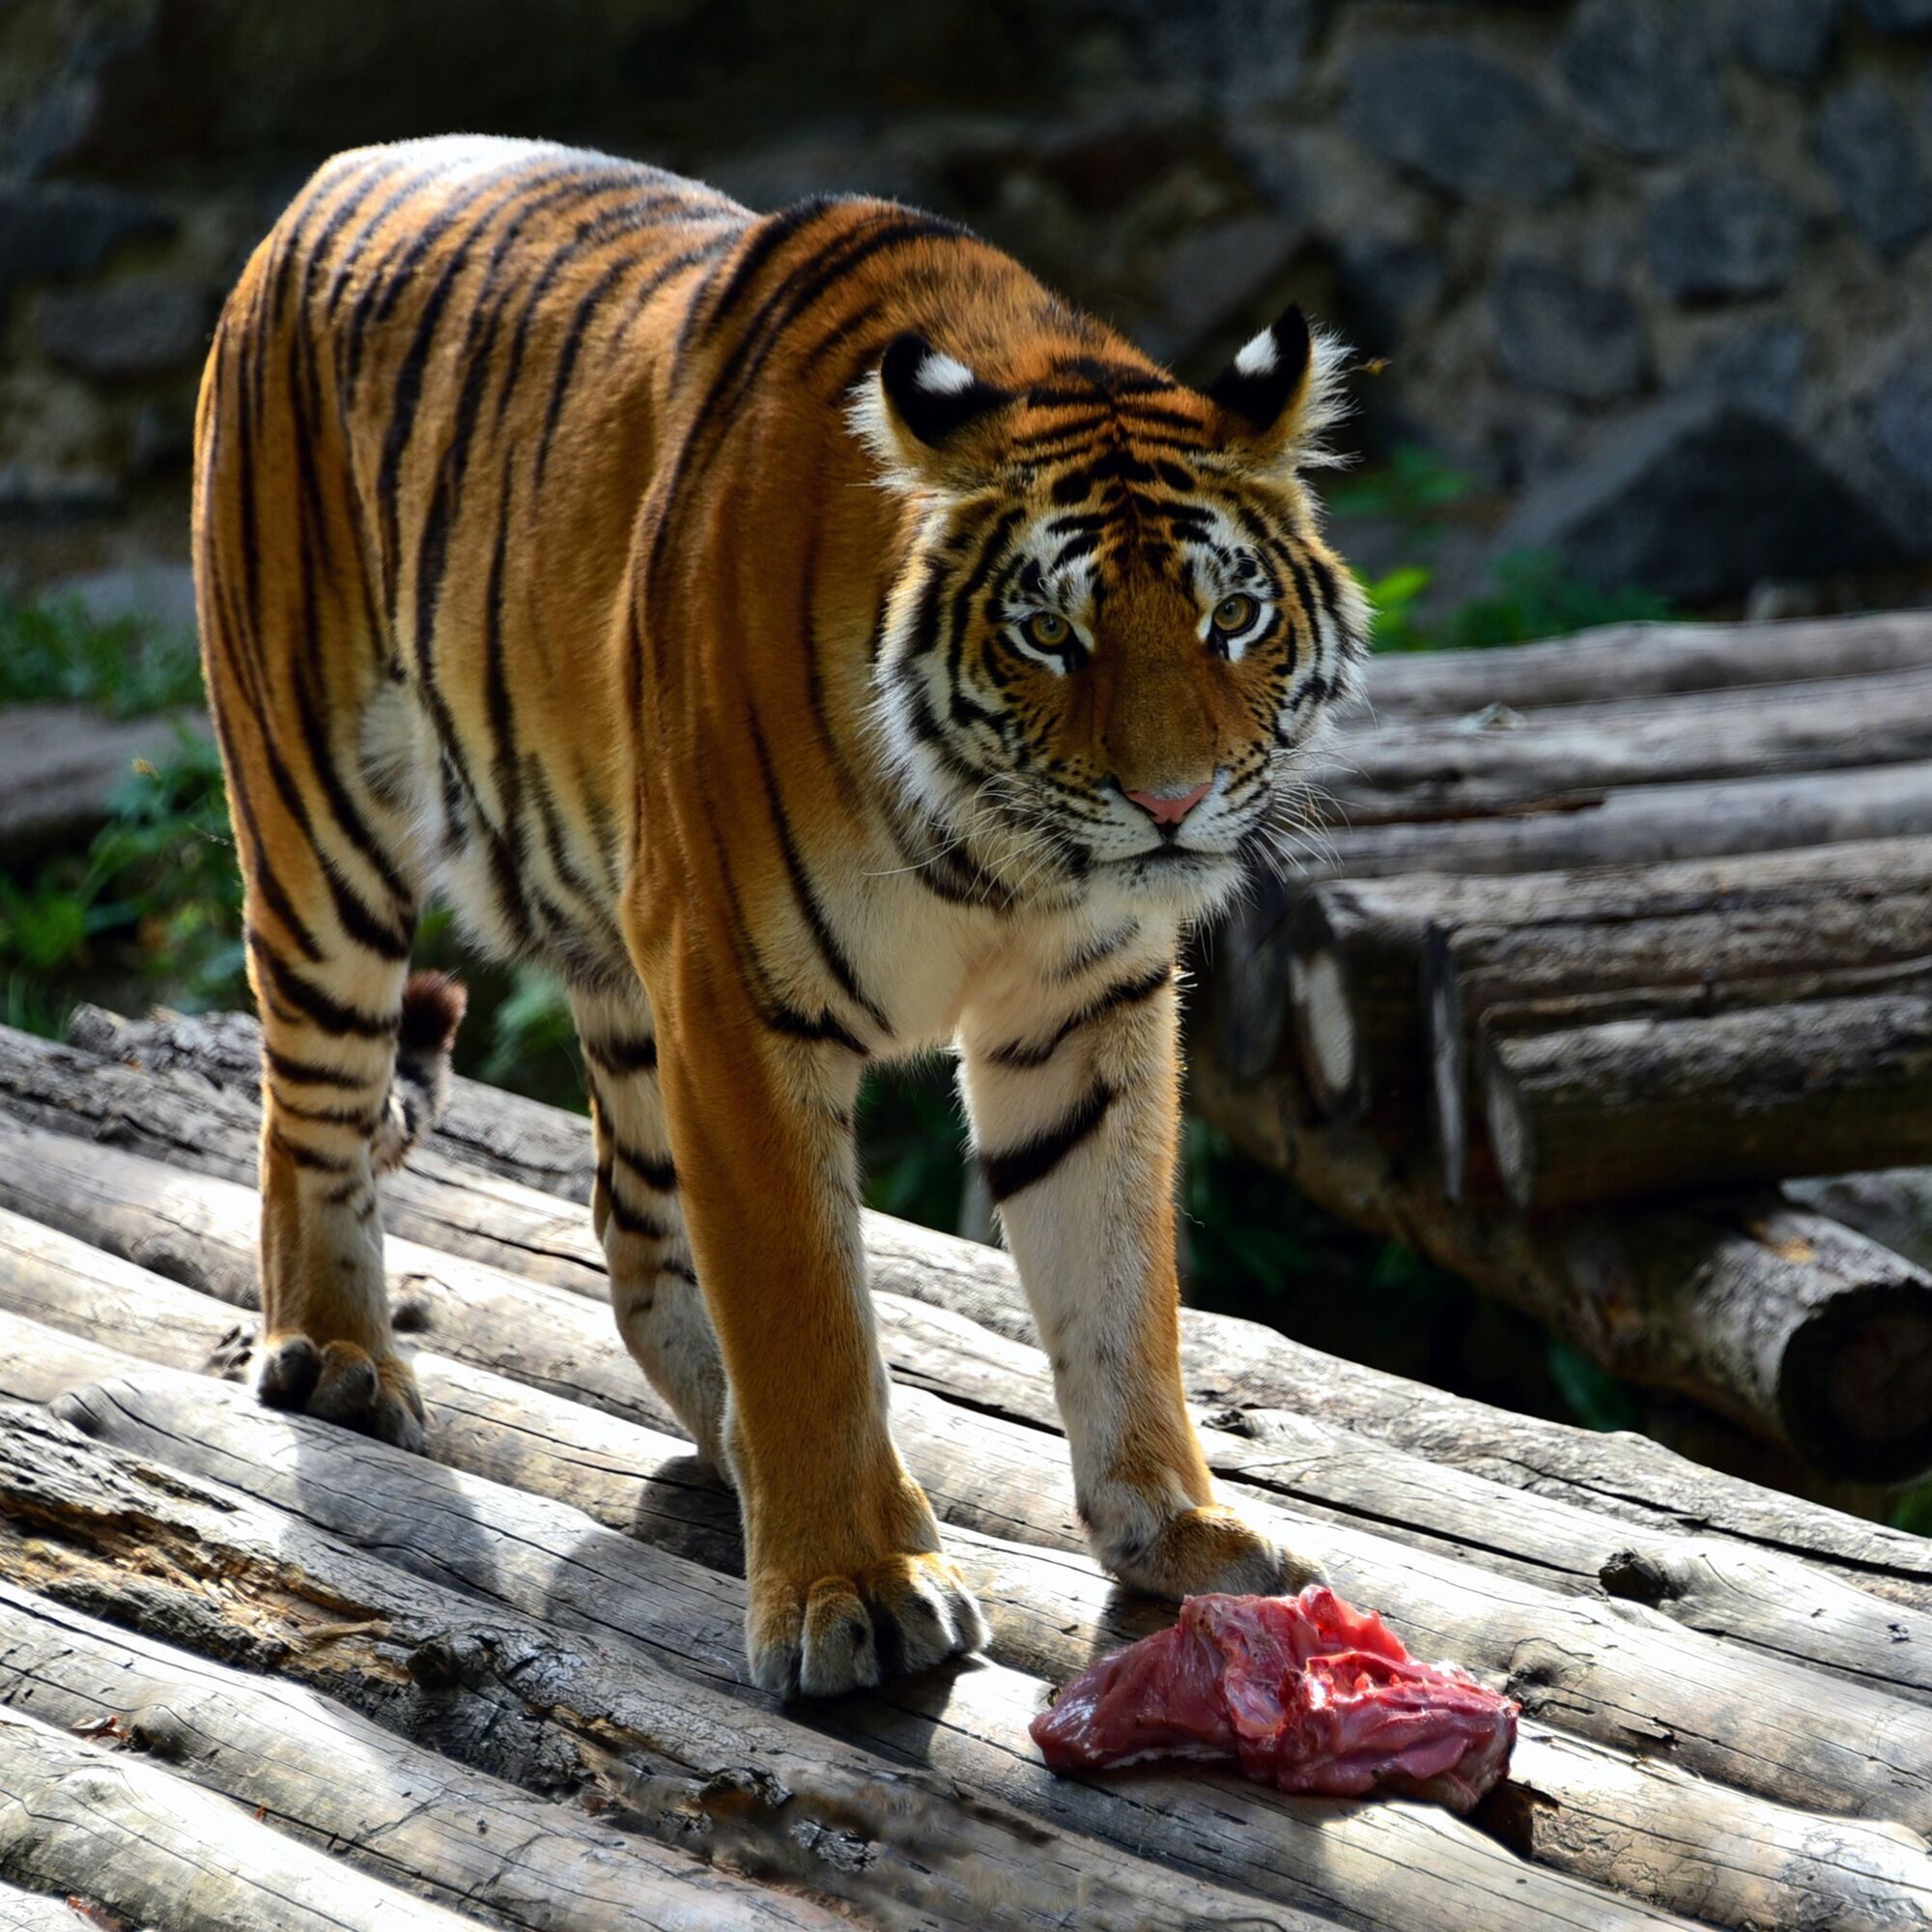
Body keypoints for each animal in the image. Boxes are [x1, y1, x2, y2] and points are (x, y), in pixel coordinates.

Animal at [192, 136, 1376, 1700]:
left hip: (615, 954)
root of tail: (322, 183)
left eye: (1230, 619)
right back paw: (336, 1352)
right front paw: (852, 1588)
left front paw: (1175, 1530)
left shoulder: (1085, 1002)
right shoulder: (735, 1001)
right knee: (308, 1104)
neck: (1004, 857)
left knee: (634, 1234)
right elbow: (807, 1307)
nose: (1170, 802)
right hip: (321, 818)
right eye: (1047, 632)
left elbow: (1121, 1283)